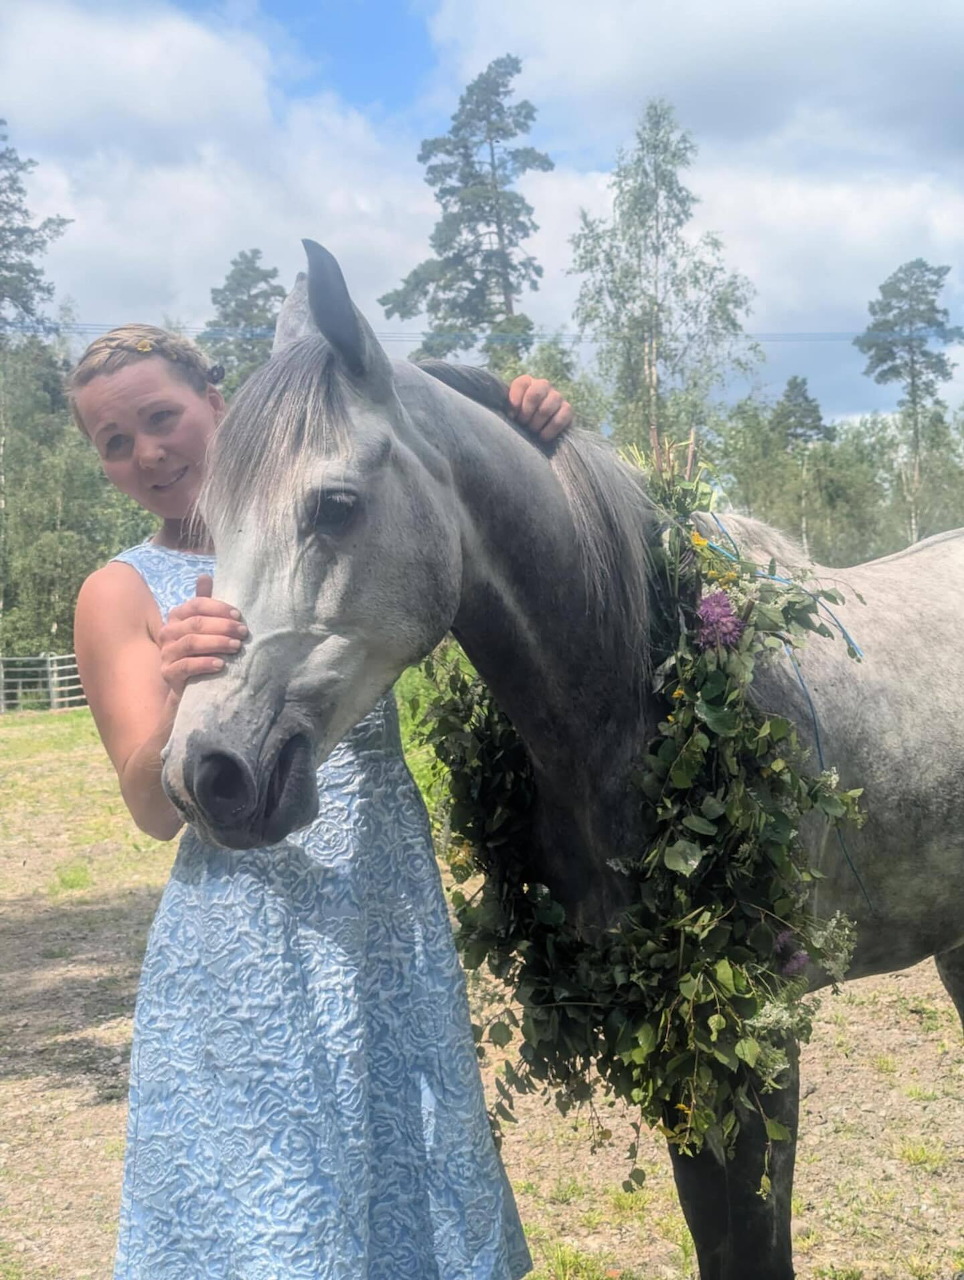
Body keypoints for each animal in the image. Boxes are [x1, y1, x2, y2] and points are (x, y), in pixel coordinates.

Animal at [161, 240, 964, 1280]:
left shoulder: (755, 1037)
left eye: (334, 506)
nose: (206, 772)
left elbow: (755, 1242)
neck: (637, 701)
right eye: (210, 520)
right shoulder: (679, 1044)